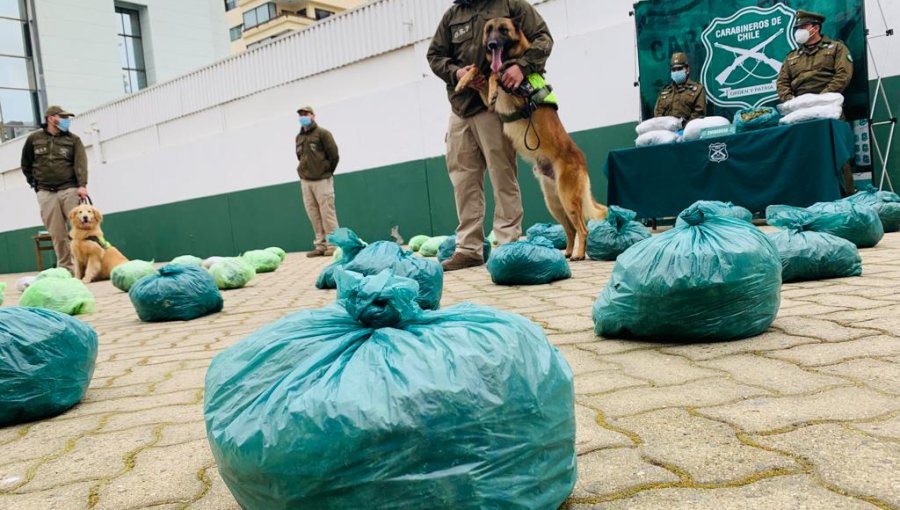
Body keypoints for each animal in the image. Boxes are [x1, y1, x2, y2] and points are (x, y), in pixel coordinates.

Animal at [21, 105, 89, 276]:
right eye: (62, 115)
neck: (53, 134)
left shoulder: (77, 143)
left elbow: (79, 161)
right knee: (58, 235)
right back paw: (67, 267)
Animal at [458, 17, 604, 260]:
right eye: (489, 30)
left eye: (503, 30)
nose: (491, 45)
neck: (511, 59)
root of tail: (581, 160)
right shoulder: (490, 104)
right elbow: (481, 72)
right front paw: (464, 80)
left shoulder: (517, 93)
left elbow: (495, 75)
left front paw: (493, 80)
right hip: (554, 202)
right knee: (571, 228)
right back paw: (566, 252)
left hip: (567, 198)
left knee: (582, 228)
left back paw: (578, 254)